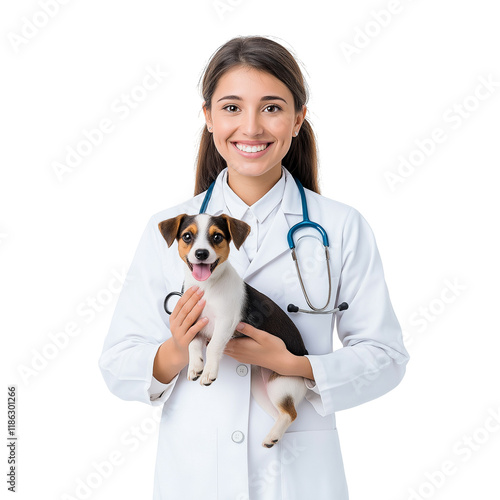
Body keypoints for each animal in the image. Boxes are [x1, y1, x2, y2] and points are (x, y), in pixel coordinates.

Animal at [159, 213, 308, 448]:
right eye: (187, 236)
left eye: (217, 237)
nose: (201, 253)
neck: (208, 287)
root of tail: (304, 354)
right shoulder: (195, 324)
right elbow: (193, 344)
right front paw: (195, 365)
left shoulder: (226, 322)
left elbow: (213, 347)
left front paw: (209, 371)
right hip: (263, 390)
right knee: (280, 413)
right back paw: (272, 435)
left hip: (282, 384)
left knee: (290, 414)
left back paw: (273, 436)